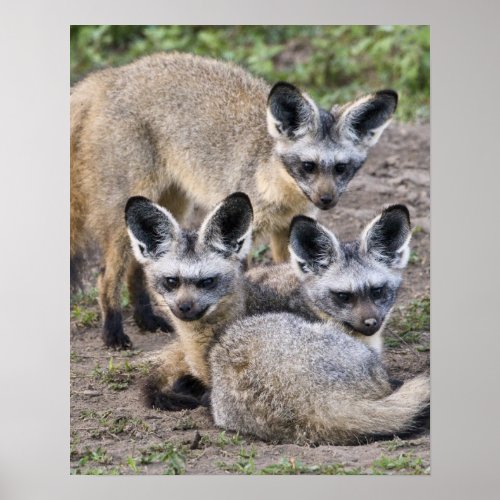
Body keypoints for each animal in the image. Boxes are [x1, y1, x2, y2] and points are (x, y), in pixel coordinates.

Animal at [71, 50, 398, 348]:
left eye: (341, 168)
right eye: (308, 166)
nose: (326, 200)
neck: (278, 190)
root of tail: (114, 74)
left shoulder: (285, 229)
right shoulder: (244, 234)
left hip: (171, 205)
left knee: (139, 267)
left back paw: (146, 319)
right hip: (125, 213)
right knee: (106, 276)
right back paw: (113, 331)